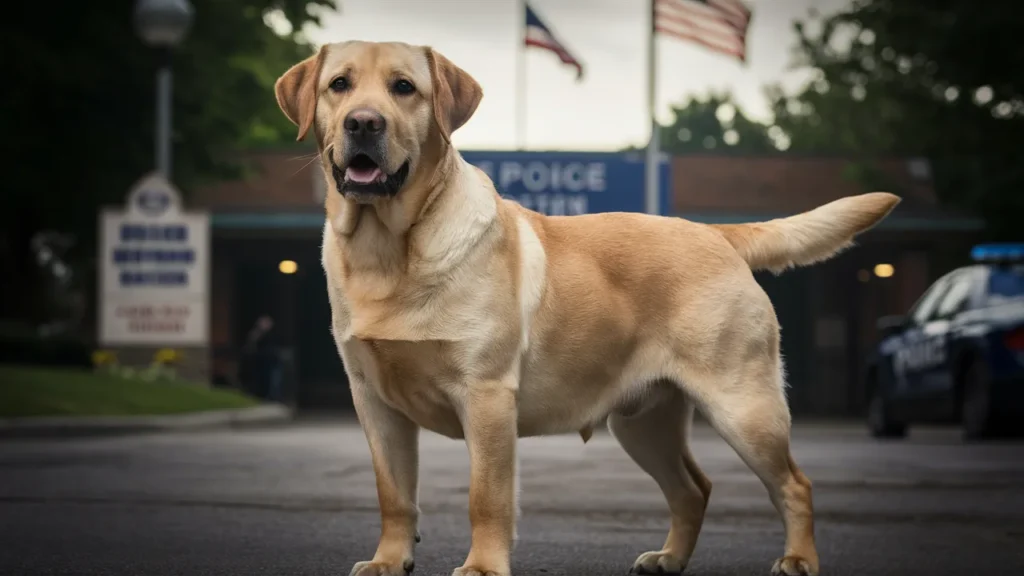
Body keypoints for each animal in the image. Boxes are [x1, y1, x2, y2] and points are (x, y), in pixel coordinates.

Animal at [276, 40, 901, 573]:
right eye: (339, 85)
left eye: (404, 88)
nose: (364, 122)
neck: (388, 249)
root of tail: (714, 232)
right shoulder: (374, 403)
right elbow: (394, 495)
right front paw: (389, 560)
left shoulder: (486, 396)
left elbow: (486, 497)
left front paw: (482, 567)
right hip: (644, 422)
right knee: (693, 489)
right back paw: (668, 558)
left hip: (745, 407)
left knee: (794, 485)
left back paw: (798, 559)